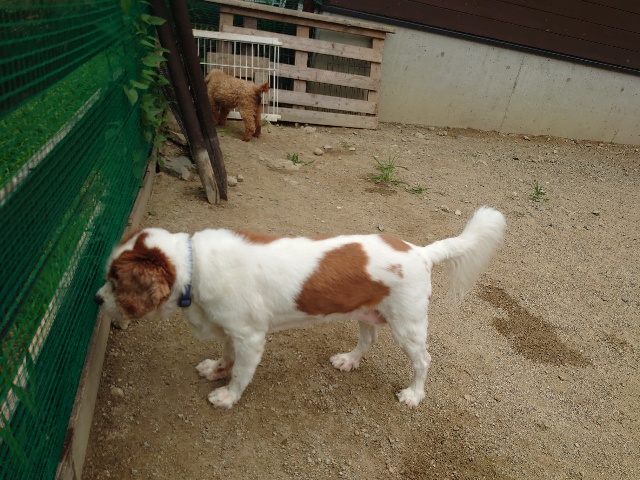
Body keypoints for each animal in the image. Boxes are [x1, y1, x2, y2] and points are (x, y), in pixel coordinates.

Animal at [94, 207, 505, 408]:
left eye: (114, 281)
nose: (96, 299)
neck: (193, 265)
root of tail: (421, 251)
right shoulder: (231, 329)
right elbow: (226, 355)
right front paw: (216, 370)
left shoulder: (251, 338)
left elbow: (241, 372)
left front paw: (227, 396)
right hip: (367, 314)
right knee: (367, 341)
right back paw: (349, 360)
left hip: (408, 325)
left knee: (423, 361)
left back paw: (414, 395)